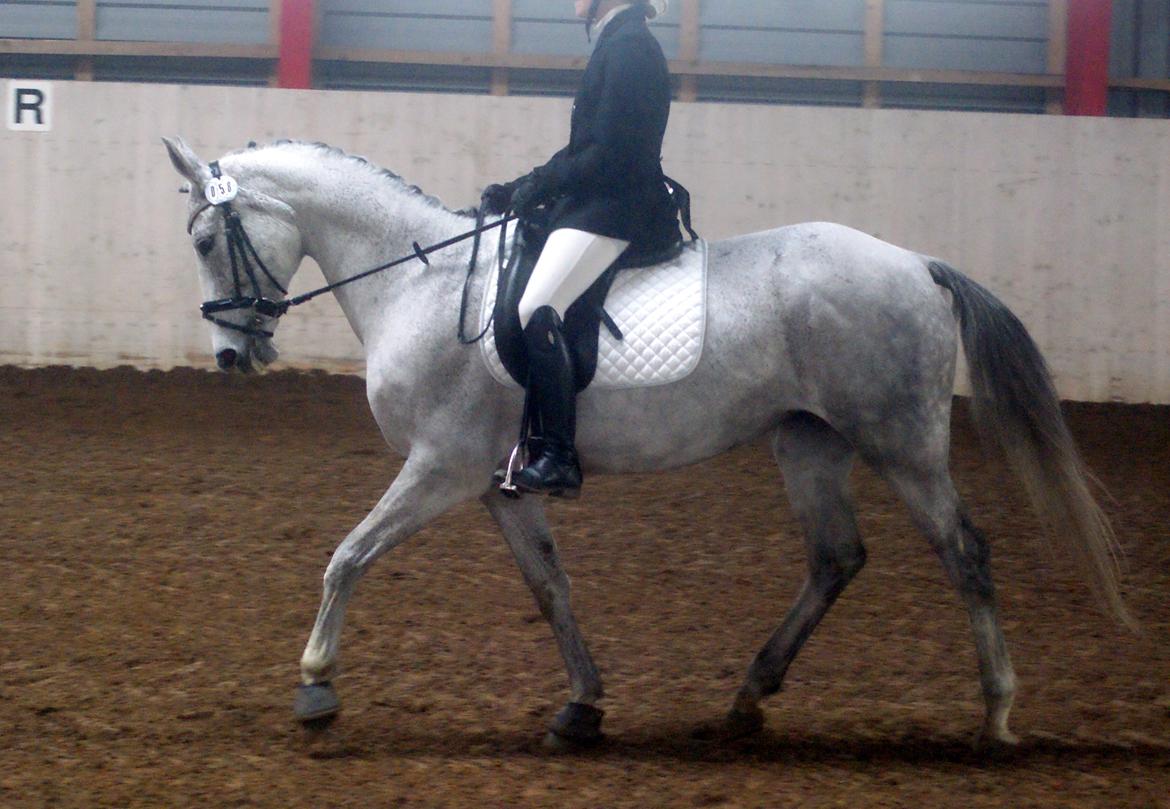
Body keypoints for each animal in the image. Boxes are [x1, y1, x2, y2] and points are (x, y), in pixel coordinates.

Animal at [167, 135, 1132, 749]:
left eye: (210, 238)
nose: (231, 355)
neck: (421, 281)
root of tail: (919, 265)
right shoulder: (494, 482)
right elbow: (550, 587)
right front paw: (581, 707)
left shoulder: (439, 466)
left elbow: (348, 556)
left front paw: (316, 685)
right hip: (810, 442)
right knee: (836, 556)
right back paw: (746, 699)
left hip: (902, 442)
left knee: (964, 552)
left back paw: (997, 715)